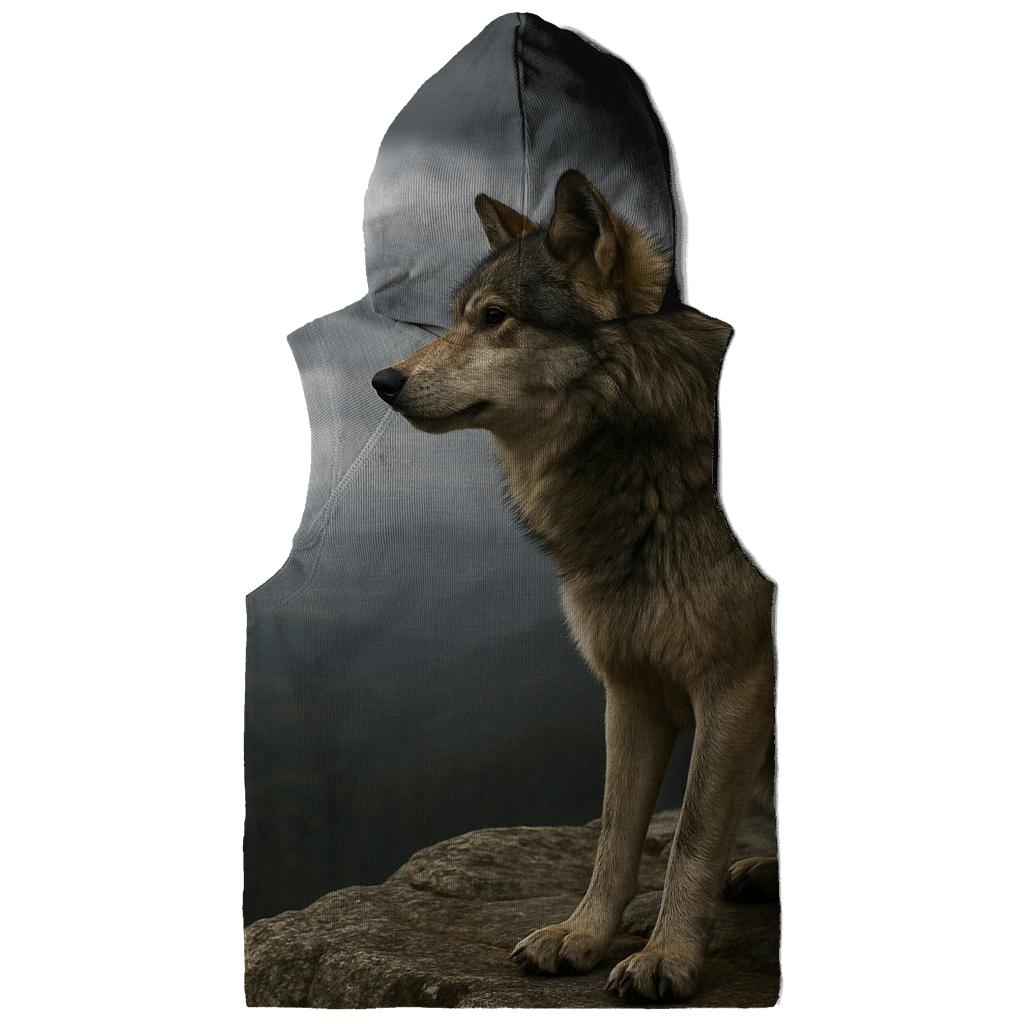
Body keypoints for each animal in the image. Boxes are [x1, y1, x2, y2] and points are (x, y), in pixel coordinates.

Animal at [371, 170, 777, 1002]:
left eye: (494, 318)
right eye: (455, 318)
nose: (383, 380)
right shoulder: (629, 687)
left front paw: (666, 958)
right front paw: (582, 938)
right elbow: (616, 835)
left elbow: (690, 838)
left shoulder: (735, 684)